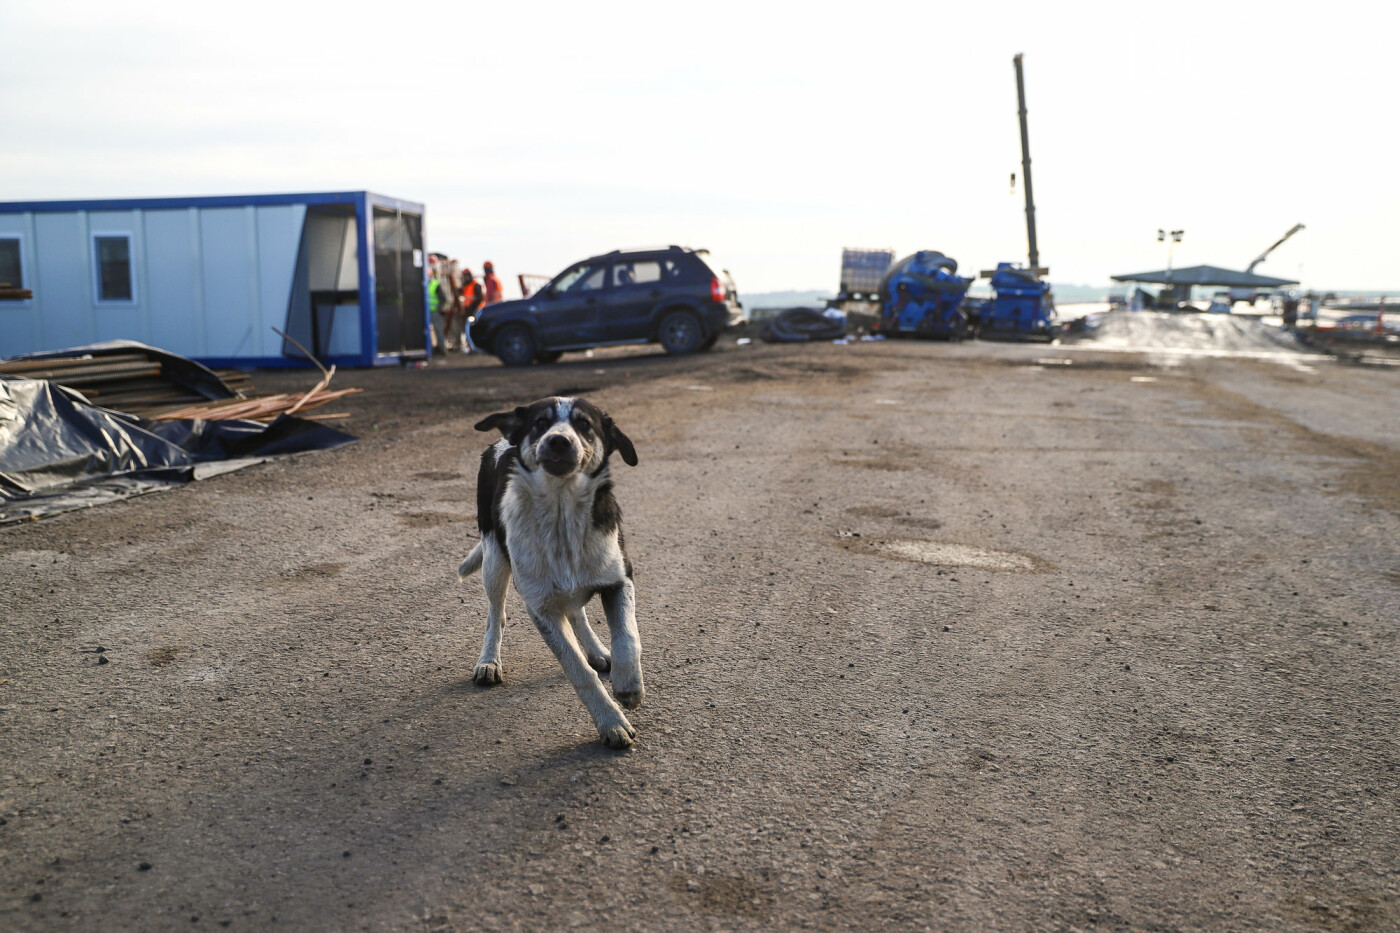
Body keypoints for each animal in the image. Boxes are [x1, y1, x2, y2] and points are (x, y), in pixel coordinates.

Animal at [459, 395, 644, 745]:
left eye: (584, 424)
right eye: (540, 423)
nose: (558, 441)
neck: (562, 515)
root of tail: (500, 441)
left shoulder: (619, 578)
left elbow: (627, 636)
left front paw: (628, 684)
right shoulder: (541, 607)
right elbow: (578, 671)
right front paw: (611, 722)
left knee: (577, 612)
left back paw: (597, 651)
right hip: (494, 559)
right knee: (496, 614)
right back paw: (489, 661)